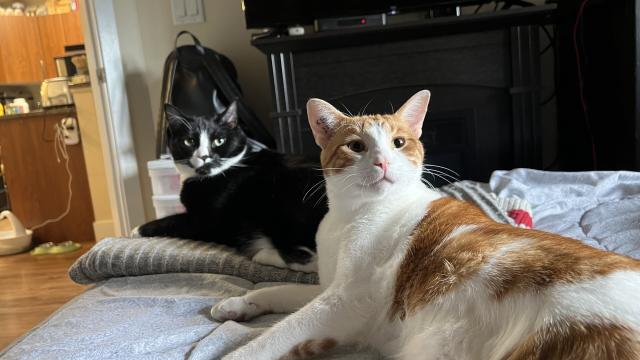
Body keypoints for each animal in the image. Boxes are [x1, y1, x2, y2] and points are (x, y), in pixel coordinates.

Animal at [135, 101, 324, 270]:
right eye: (189, 141)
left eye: (219, 141)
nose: (204, 156)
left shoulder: (204, 222)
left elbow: (172, 220)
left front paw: (136, 229)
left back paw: (262, 254)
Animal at [215, 90, 640, 360]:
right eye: (357, 146)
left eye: (399, 143)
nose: (383, 161)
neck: (350, 215)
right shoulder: (331, 289)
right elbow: (280, 292)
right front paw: (239, 303)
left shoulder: (345, 300)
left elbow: (279, 333)